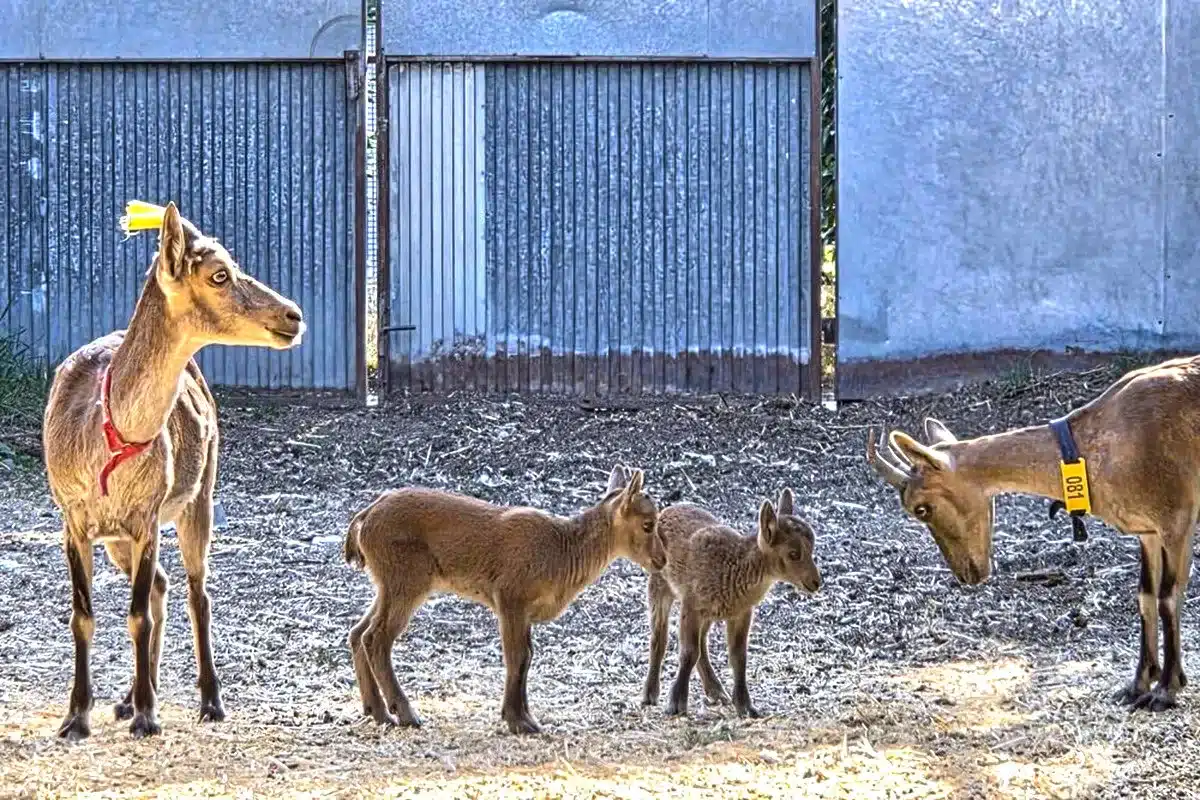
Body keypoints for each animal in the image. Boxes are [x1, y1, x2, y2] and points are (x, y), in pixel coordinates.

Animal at [42, 201, 305, 739]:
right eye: (219, 273)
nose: (293, 315)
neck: (106, 441)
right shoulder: (71, 517)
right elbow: (83, 615)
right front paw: (76, 717)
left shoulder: (147, 513)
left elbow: (136, 614)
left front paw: (147, 716)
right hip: (118, 538)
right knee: (163, 585)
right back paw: (128, 697)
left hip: (199, 497)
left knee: (195, 591)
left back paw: (207, 700)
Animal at [343, 465, 663, 734]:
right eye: (648, 524)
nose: (661, 559)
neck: (561, 551)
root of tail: (364, 519)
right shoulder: (510, 598)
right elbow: (516, 656)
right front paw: (517, 721)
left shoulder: (526, 612)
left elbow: (527, 657)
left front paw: (527, 717)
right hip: (407, 581)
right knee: (376, 638)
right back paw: (406, 714)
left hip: (387, 584)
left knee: (358, 632)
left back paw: (378, 711)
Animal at [641, 489, 821, 718]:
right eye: (793, 553)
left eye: (812, 548)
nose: (815, 582)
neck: (734, 567)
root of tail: (665, 511)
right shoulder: (691, 604)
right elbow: (688, 652)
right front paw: (676, 704)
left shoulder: (741, 612)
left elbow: (738, 656)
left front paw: (746, 706)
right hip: (659, 583)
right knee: (659, 637)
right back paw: (650, 694)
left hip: (709, 613)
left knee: (702, 643)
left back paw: (717, 692)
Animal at [866, 355, 1200, 712]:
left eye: (920, 509)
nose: (968, 574)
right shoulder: (1148, 531)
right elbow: (1145, 596)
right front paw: (1138, 685)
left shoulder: (1177, 517)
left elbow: (1167, 598)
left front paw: (1166, 690)